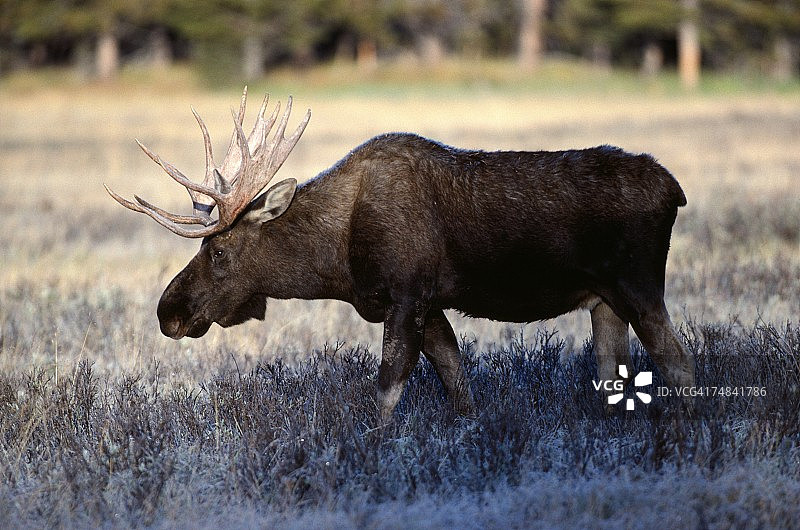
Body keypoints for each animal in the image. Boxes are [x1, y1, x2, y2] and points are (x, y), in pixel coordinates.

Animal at [106, 88, 695, 419]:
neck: (337, 262)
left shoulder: (406, 295)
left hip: (638, 285)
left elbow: (387, 391)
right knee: (615, 372)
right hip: (603, 300)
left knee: (679, 362)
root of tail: (676, 190)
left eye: (220, 249)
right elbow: (457, 383)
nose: (168, 311)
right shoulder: (429, 306)